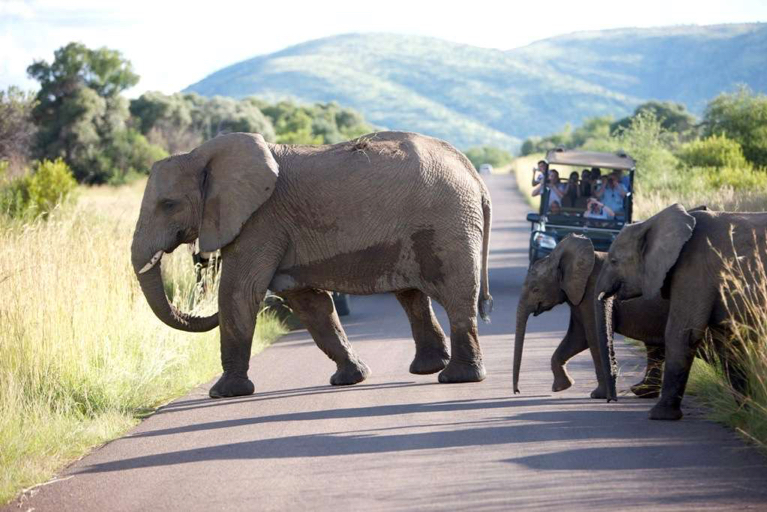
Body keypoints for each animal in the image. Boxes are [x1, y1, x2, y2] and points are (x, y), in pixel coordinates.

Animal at [131, 131, 492, 400]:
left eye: (168, 204)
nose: (202, 260)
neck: (201, 155)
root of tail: (473, 173)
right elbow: (308, 302)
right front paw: (351, 378)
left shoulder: (261, 221)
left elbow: (240, 291)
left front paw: (223, 393)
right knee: (412, 296)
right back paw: (428, 369)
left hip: (448, 221)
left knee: (455, 294)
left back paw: (458, 377)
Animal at [512, 236, 668, 400]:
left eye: (535, 289)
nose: (517, 391)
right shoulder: (578, 297)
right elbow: (578, 337)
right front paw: (561, 387)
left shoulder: (592, 293)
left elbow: (593, 337)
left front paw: (597, 395)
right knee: (654, 347)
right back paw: (642, 391)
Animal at [596, 203, 764, 420]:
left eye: (614, 261)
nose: (612, 399)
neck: (652, 222)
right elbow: (727, 342)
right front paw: (744, 413)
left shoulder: (693, 270)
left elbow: (682, 334)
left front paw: (660, 415)